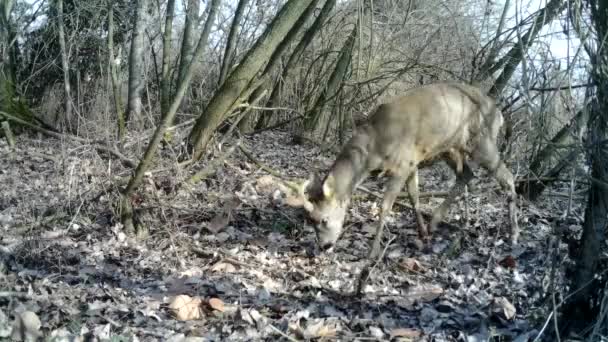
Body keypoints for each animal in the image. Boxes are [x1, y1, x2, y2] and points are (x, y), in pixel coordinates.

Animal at [294, 81, 516, 258]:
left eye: (324, 219)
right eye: (309, 220)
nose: (324, 246)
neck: (373, 148)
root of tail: (500, 115)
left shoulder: (403, 164)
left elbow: (385, 206)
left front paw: (373, 251)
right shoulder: (412, 163)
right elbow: (414, 197)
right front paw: (422, 233)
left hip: (482, 142)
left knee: (507, 177)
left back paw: (513, 235)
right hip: (449, 148)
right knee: (467, 174)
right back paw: (437, 221)